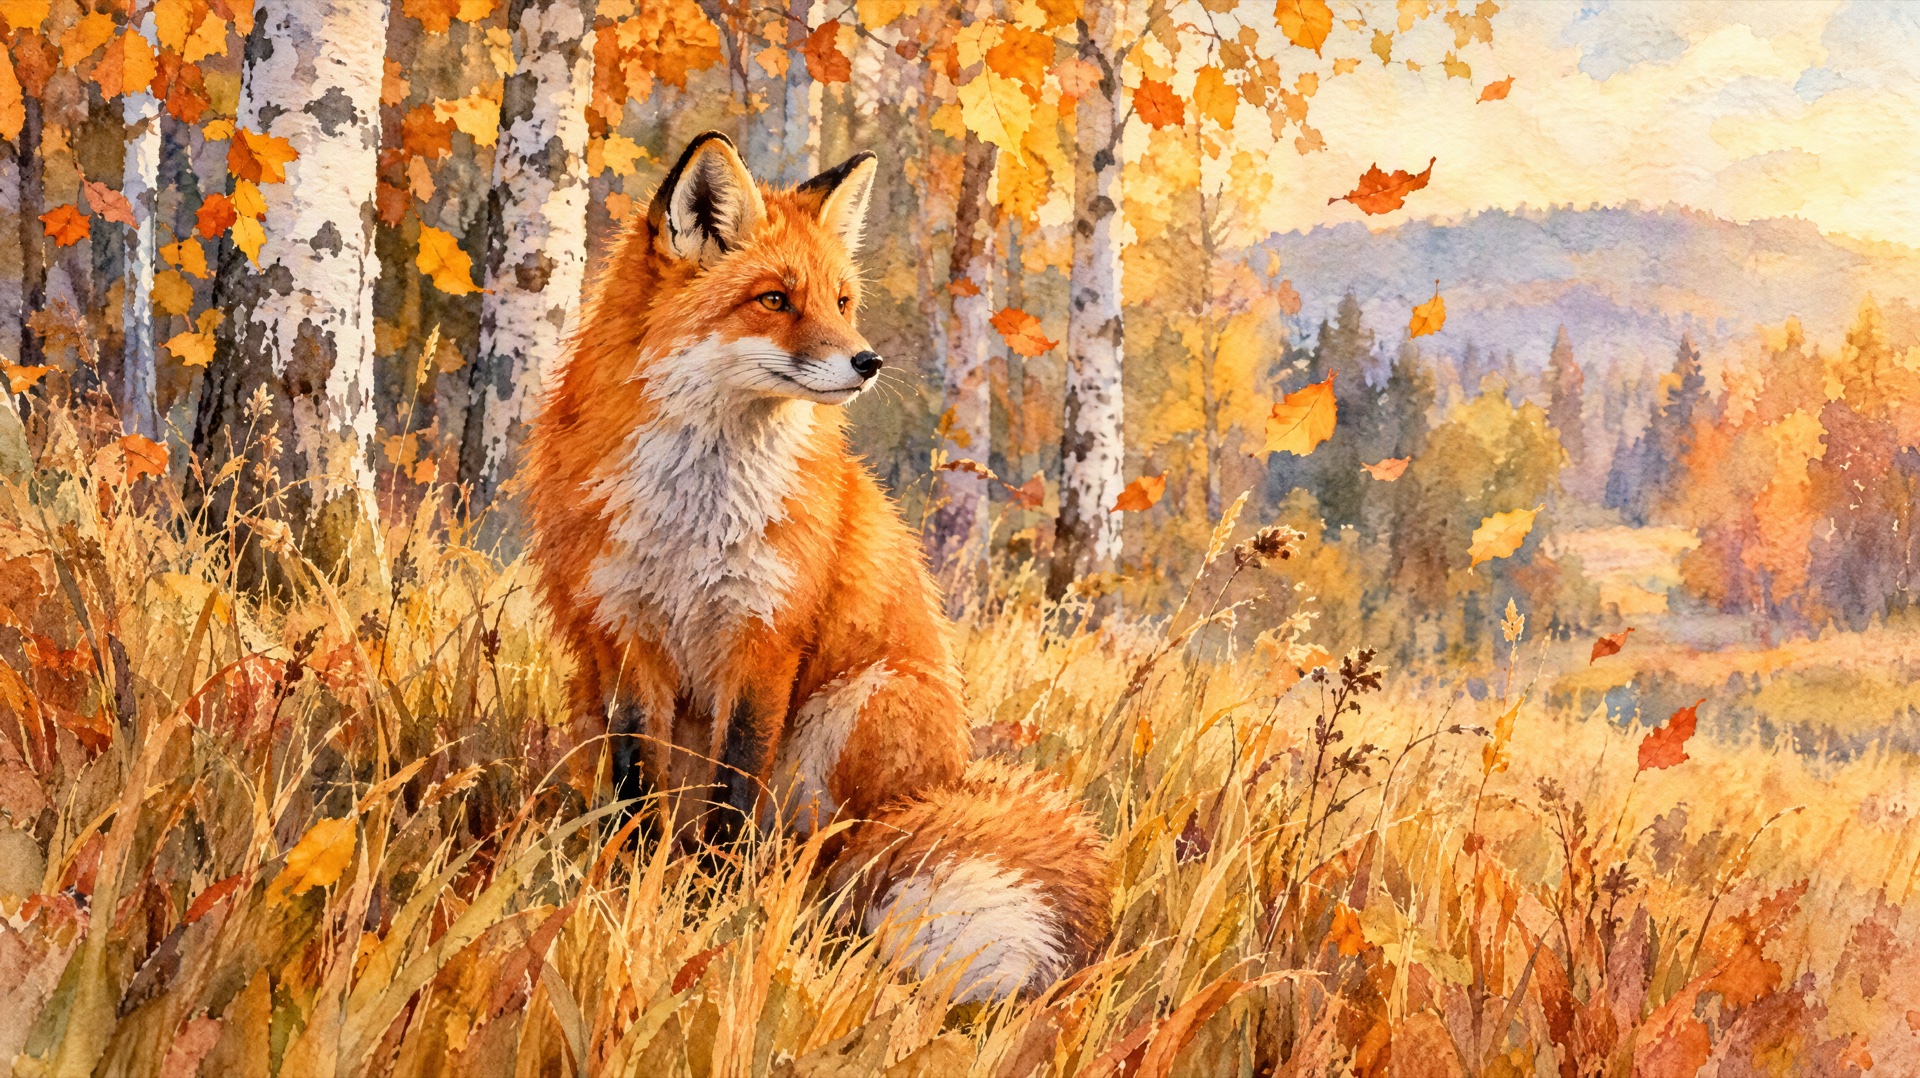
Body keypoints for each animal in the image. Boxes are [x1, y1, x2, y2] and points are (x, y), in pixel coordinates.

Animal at [525, 131, 1111, 1001]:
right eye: (774, 300)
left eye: (842, 301)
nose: (869, 361)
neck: (696, 509)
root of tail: (949, 780)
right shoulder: (623, 637)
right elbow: (637, 795)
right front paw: (633, 897)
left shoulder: (765, 639)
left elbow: (734, 797)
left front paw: (709, 916)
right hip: (590, 694)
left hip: (860, 709)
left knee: (828, 864)